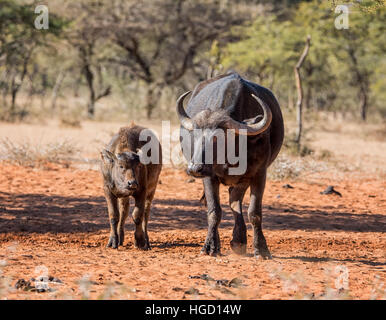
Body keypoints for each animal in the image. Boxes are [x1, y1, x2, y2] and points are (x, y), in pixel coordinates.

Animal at [177, 72, 284, 258]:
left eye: (218, 138)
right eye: (194, 135)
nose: (194, 168)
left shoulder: (259, 174)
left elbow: (254, 213)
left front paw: (261, 248)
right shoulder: (209, 177)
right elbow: (214, 211)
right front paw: (210, 246)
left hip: (242, 180)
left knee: (235, 201)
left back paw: (239, 241)